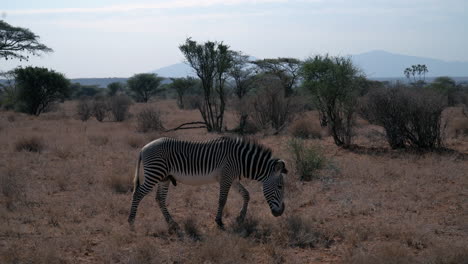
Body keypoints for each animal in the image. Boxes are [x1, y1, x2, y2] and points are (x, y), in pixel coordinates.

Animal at [129, 136, 288, 231]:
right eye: (280, 187)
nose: (280, 213)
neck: (240, 160)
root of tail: (143, 148)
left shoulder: (232, 178)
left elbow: (246, 195)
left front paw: (240, 217)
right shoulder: (225, 177)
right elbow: (222, 200)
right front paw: (219, 221)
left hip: (164, 178)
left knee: (160, 199)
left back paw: (172, 222)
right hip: (154, 173)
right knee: (137, 194)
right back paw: (131, 221)